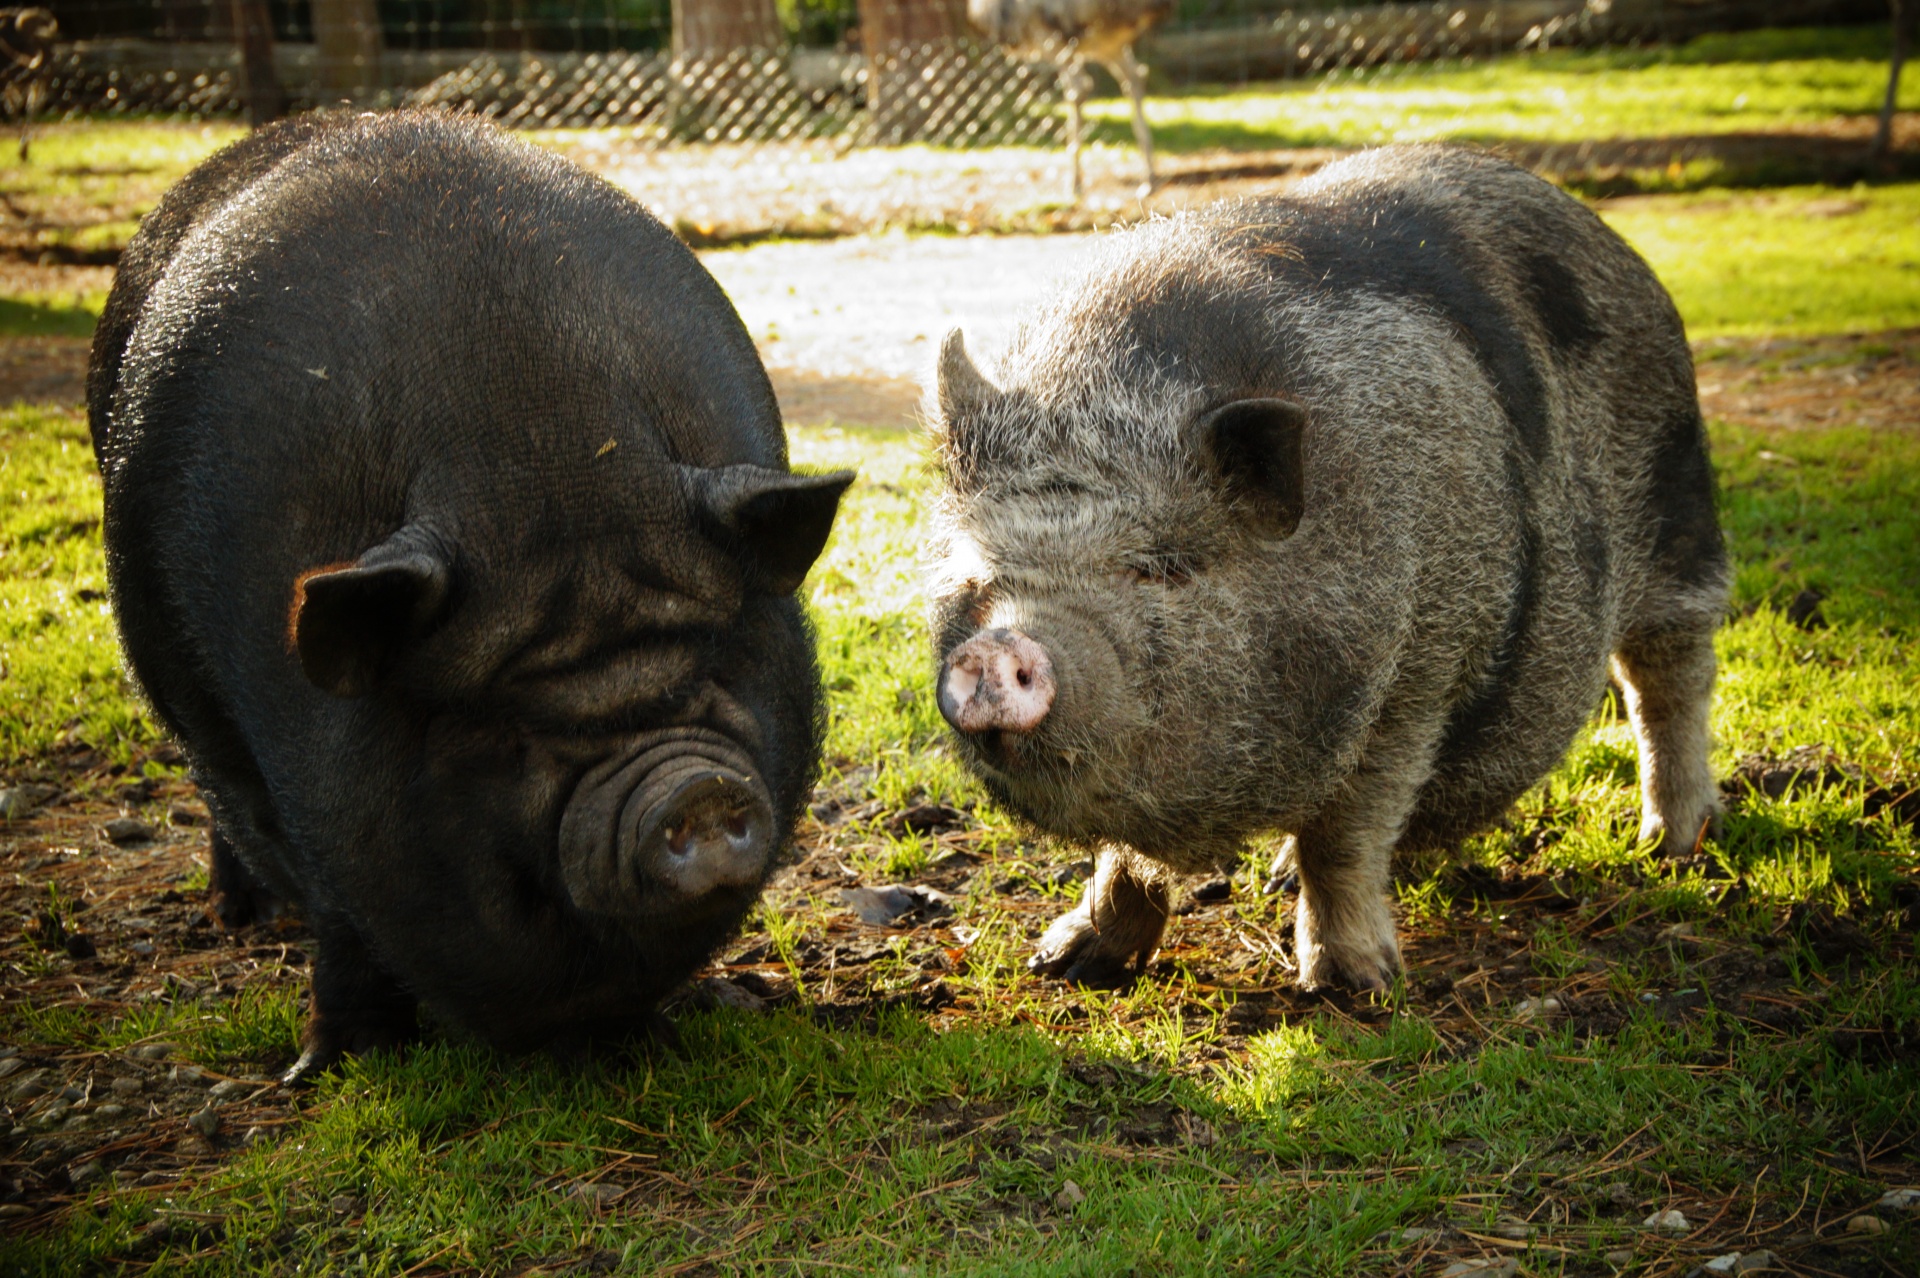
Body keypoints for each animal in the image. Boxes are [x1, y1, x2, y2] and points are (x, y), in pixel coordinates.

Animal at [82, 111, 848, 1074]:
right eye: (504, 727)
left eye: (719, 658)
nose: (692, 787)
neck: (543, 454)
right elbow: (343, 925)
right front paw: (337, 1068)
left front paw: (651, 1040)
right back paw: (239, 921)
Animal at [925, 146, 1728, 982]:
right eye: (982, 574)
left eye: (1165, 567)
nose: (999, 648)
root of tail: (1606, 235)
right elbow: (1123, 856)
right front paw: (1063, 961)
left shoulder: (1419, 671)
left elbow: (1347, 831)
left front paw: (1349, 983)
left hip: (1679, 508)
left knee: (1669, 675)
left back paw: (1672, 846)